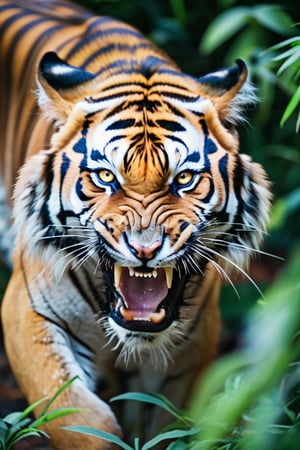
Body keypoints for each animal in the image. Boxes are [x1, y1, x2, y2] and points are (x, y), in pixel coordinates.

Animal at [0, 0, 272, 448]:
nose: (145, 249)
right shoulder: (28, 312)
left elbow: (169, 426)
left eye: (184, 178)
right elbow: (75, 415)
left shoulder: (189, 351)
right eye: (105, 176)